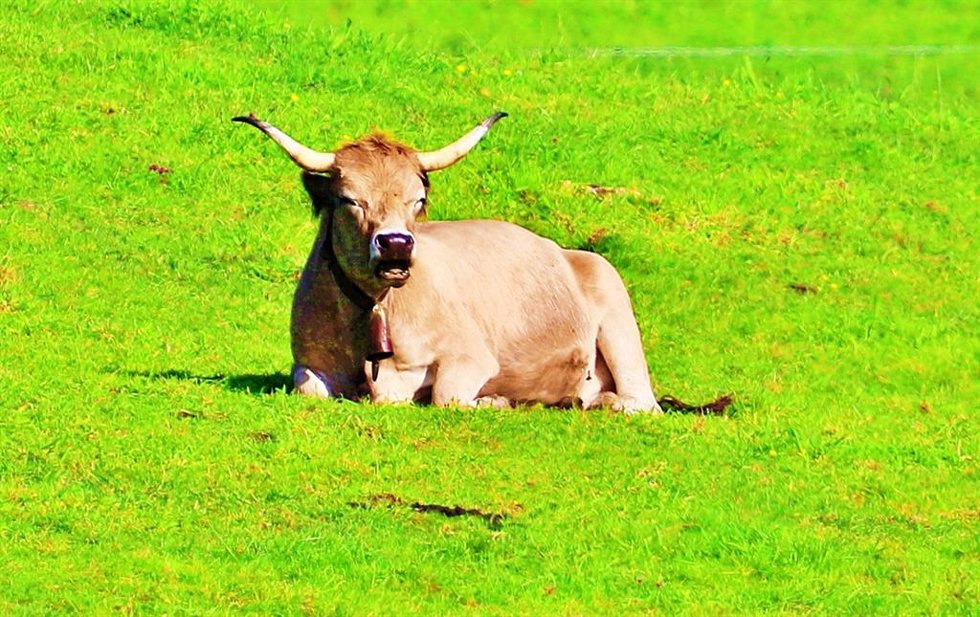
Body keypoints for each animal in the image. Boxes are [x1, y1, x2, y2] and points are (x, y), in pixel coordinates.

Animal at [233, 112, 662, 413]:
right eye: (350, 199)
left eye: (418, 200)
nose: (396, 244)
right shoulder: (307, 363)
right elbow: (310, 388)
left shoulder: (471, 356)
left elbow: (447, 394)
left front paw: (497, 400)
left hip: (615, 309)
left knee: (640, 402)